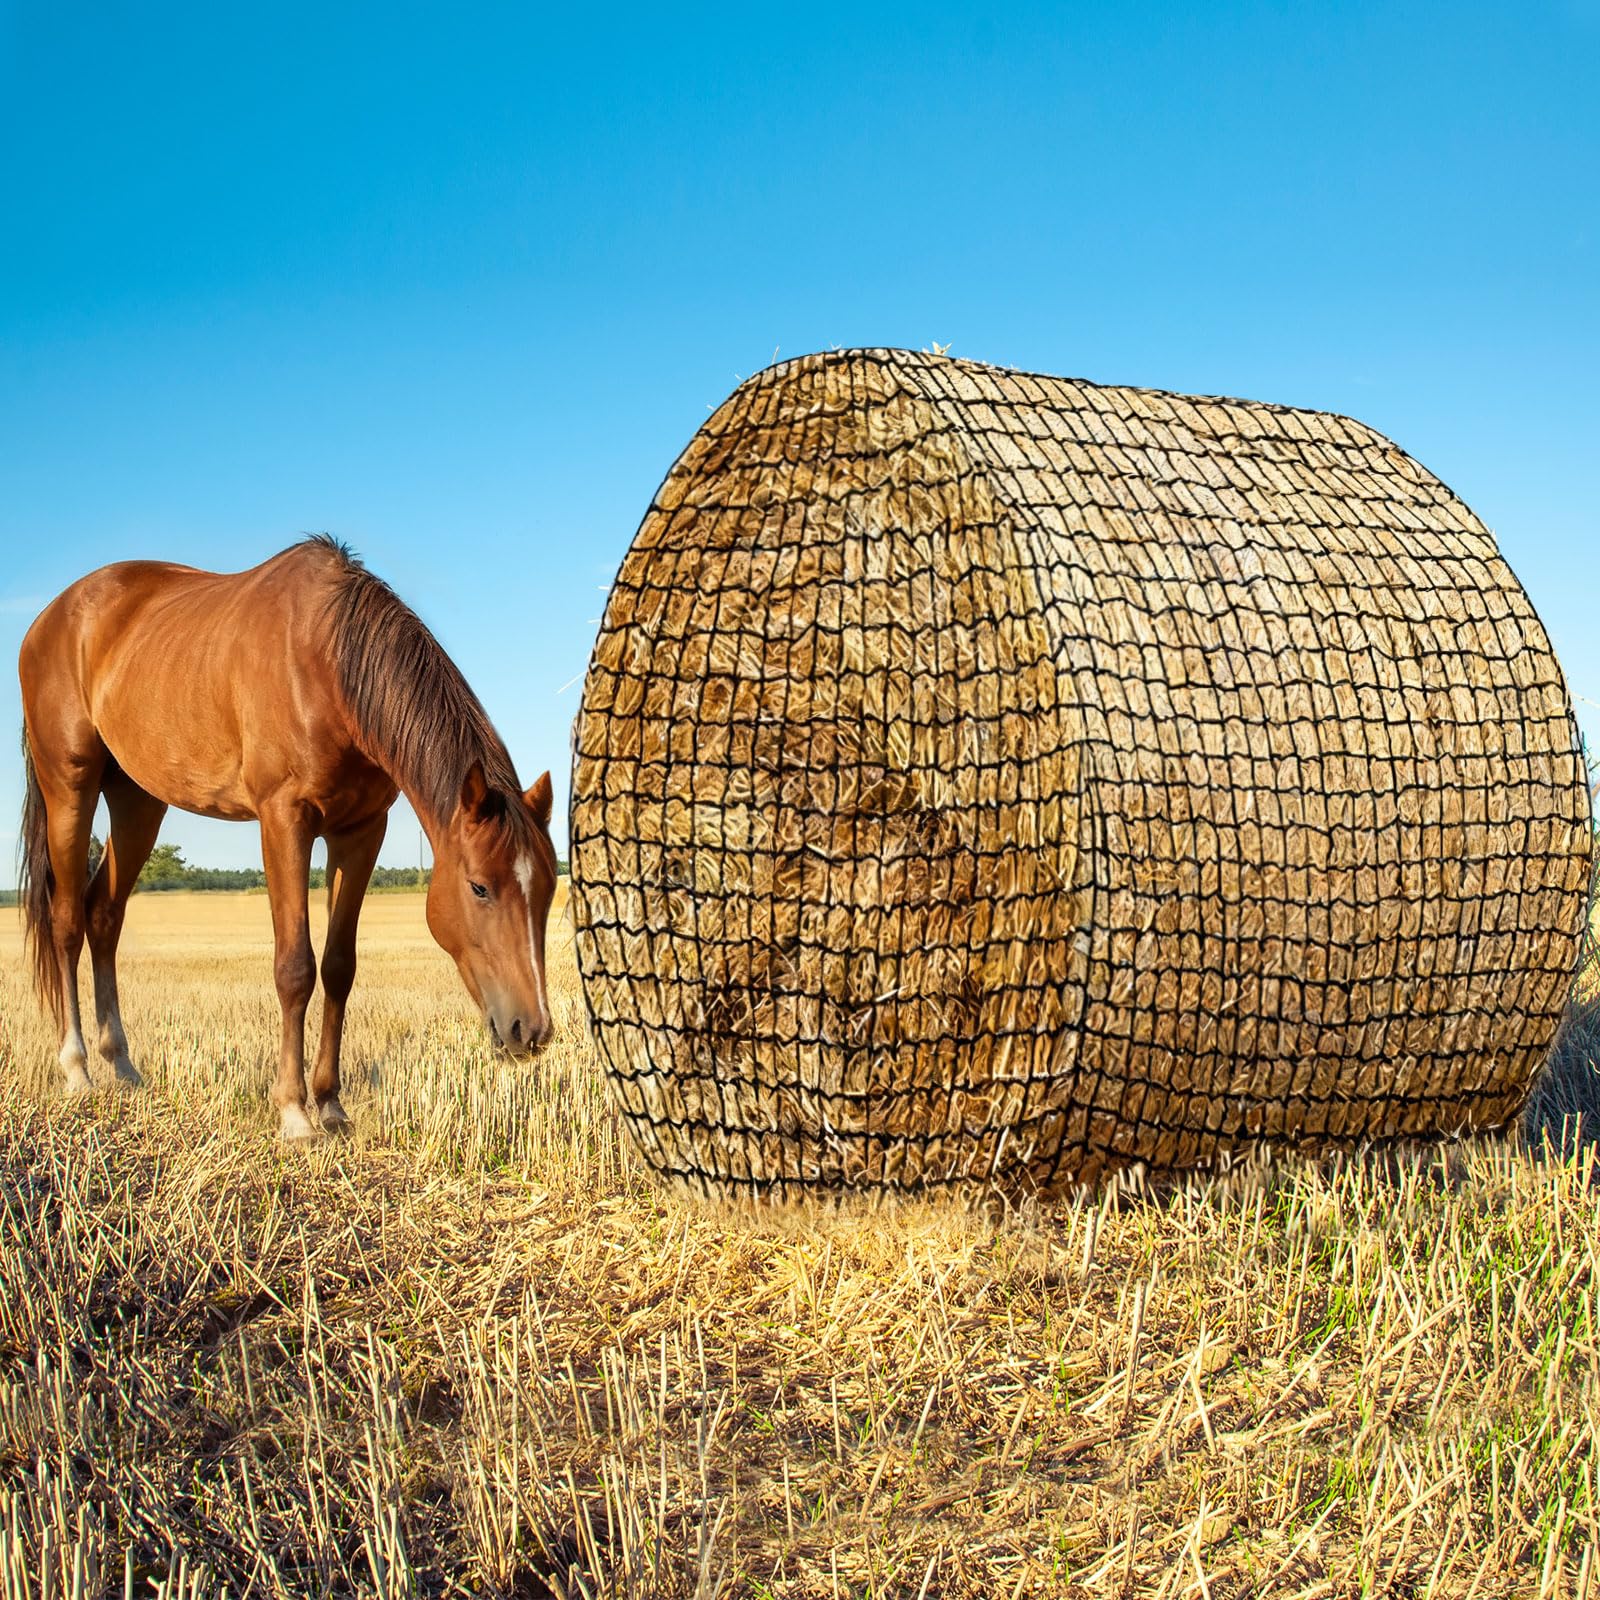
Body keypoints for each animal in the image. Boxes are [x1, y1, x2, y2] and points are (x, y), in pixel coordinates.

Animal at [17, 535, 559, 1141]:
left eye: (548, 890)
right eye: (479, 888)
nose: (531, 1030)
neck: (329, 664)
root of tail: (50, 616)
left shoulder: (361, 830)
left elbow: (339, 968)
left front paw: (331, 1103)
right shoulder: (284, 819)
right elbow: (295, 966)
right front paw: (294, 1111)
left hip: (137, 800)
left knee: (104, 916)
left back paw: (123, 1065)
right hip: (70, 785)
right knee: (67, 920)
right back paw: (78, 1069)